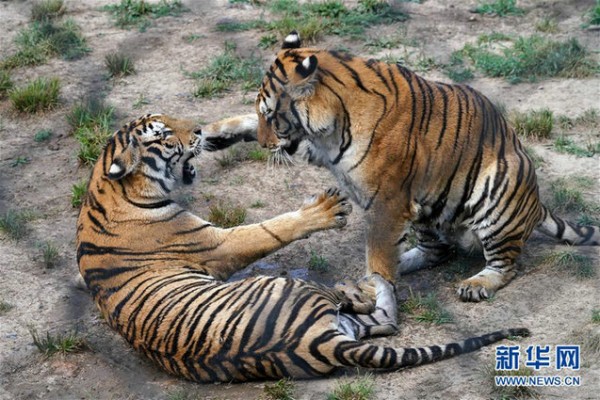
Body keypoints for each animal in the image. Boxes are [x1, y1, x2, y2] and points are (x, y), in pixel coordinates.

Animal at [76, 114, 528, 382]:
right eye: (166, 134)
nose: (200, 132)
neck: (107, 188)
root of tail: (317, 343)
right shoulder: (220, 244)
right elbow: (269, 229)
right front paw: (324, 210)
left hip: (346, 326)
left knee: (384, 321)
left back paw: (370, 281)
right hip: (290, 288)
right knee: (373, 307)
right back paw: (366, 282)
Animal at [203, 31, 600, 302]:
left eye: (272, 115)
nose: (266, 144)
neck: (332, 122)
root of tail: (536, 202)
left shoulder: (387, 201)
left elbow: (377, 252)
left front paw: (373, 289)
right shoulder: (319, 149)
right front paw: (213, 133)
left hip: (498, 194)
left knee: (507, 263)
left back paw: (476, 284)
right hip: (427, 207)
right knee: (436, 251)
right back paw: (403, 262)